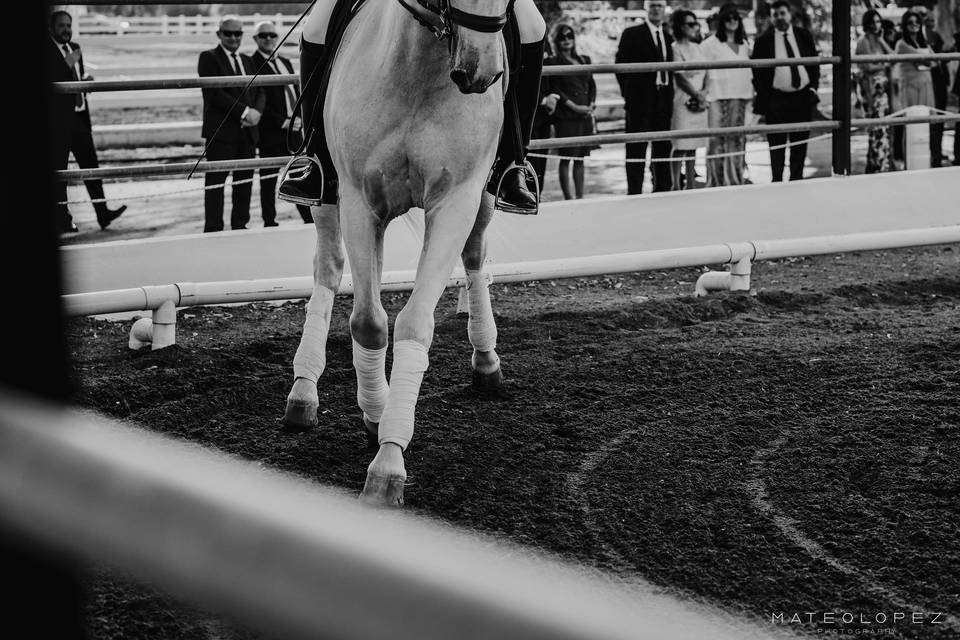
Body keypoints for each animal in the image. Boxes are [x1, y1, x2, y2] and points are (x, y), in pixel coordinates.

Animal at [284, 0, 524, 508]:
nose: (481, 71)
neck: (421, 67)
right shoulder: (359, 202)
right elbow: (368, 322)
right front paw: (376, 421)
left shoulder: (456, 201)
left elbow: (414, 324)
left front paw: (388, 461)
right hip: (328, 197)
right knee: (328, 270)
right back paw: (303, 390)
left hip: (484, 197)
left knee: (475, 257)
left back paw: (486, 360)